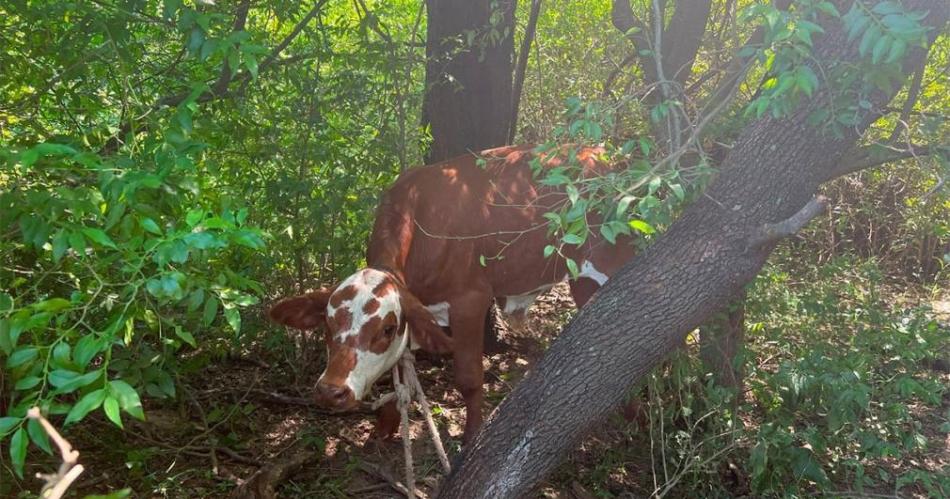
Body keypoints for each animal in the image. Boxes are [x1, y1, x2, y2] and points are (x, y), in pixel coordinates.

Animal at [268, 146, 636, 446]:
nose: (331, 391)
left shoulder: (470, 300)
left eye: (386, 329)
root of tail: (604, 152)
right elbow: (401, 368)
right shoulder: (417, 307)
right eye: (328, 326)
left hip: (613, 259)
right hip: (581, 280)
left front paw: (471, 437)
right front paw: (387, 425)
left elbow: (469, 378)